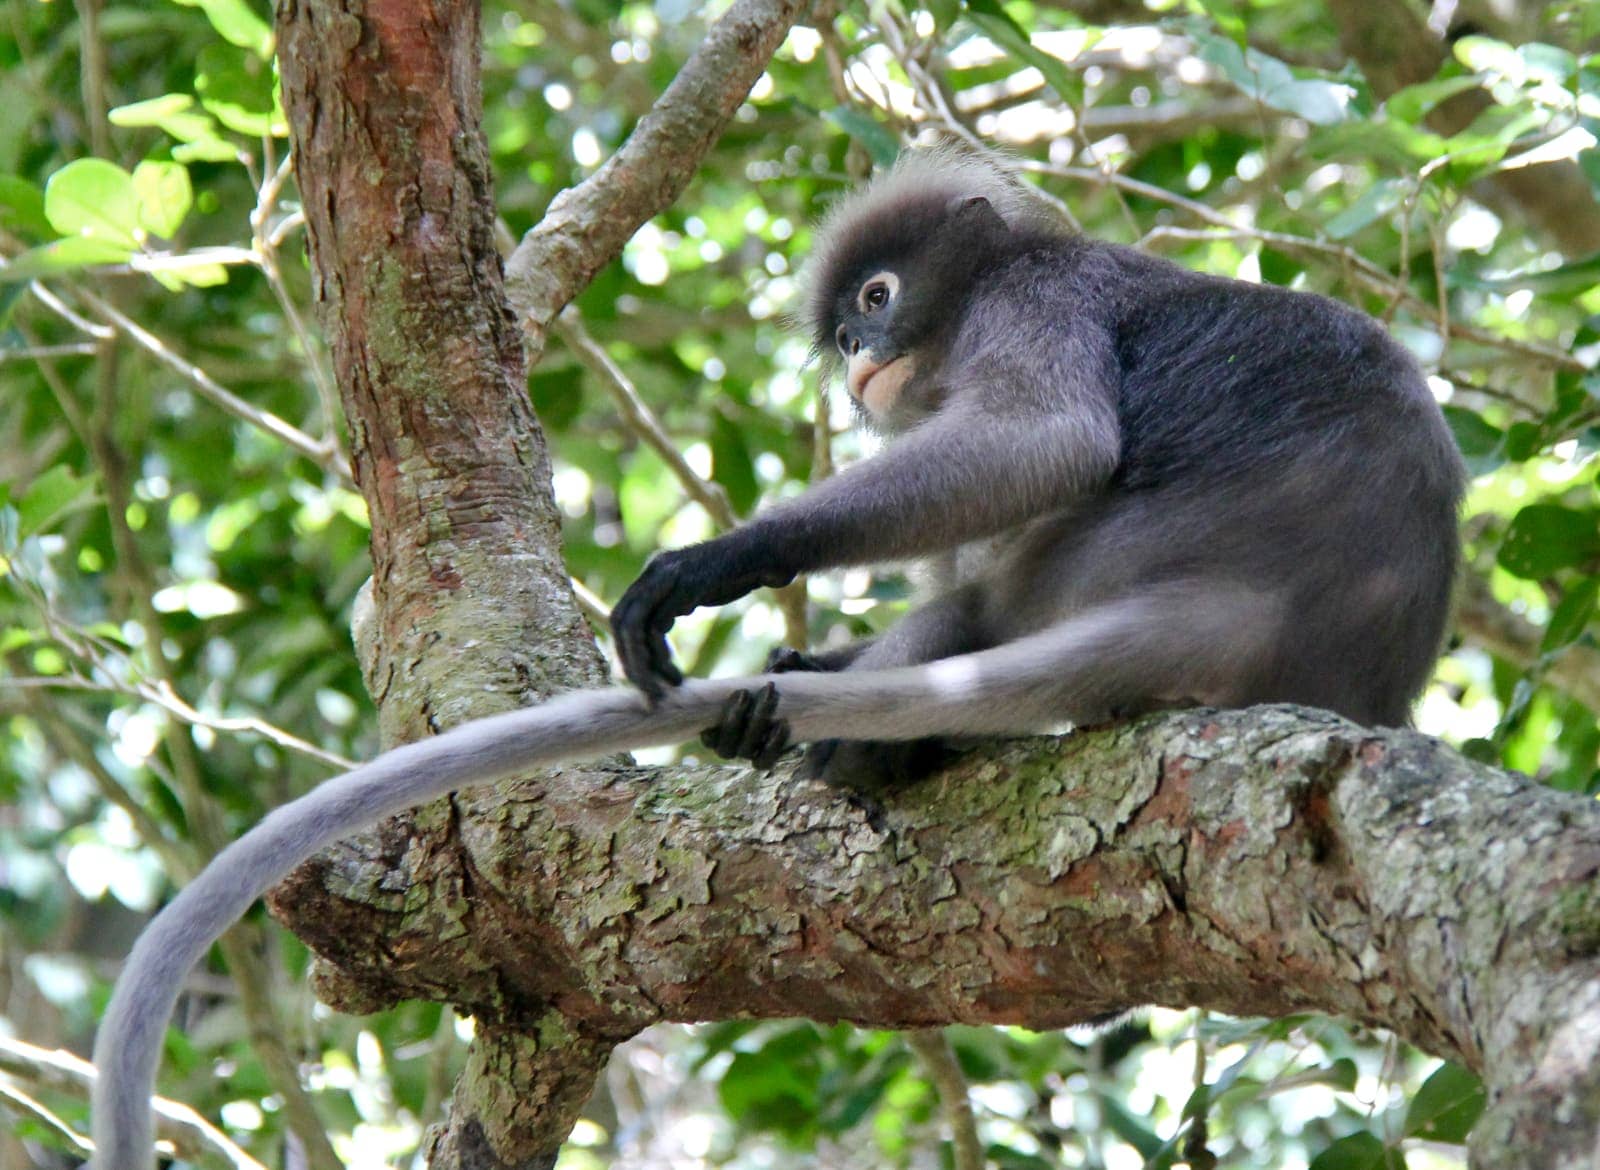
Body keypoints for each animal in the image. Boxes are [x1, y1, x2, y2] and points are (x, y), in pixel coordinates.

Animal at [84, 148, 1465, 1170]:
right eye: (846, 326)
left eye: (876, 300)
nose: (857, 362)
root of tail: (1264, 611)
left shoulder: (1038, 305)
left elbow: (1046, 441)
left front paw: (718, 566)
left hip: (1087, 564)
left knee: (984, 582)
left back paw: (853, 742)